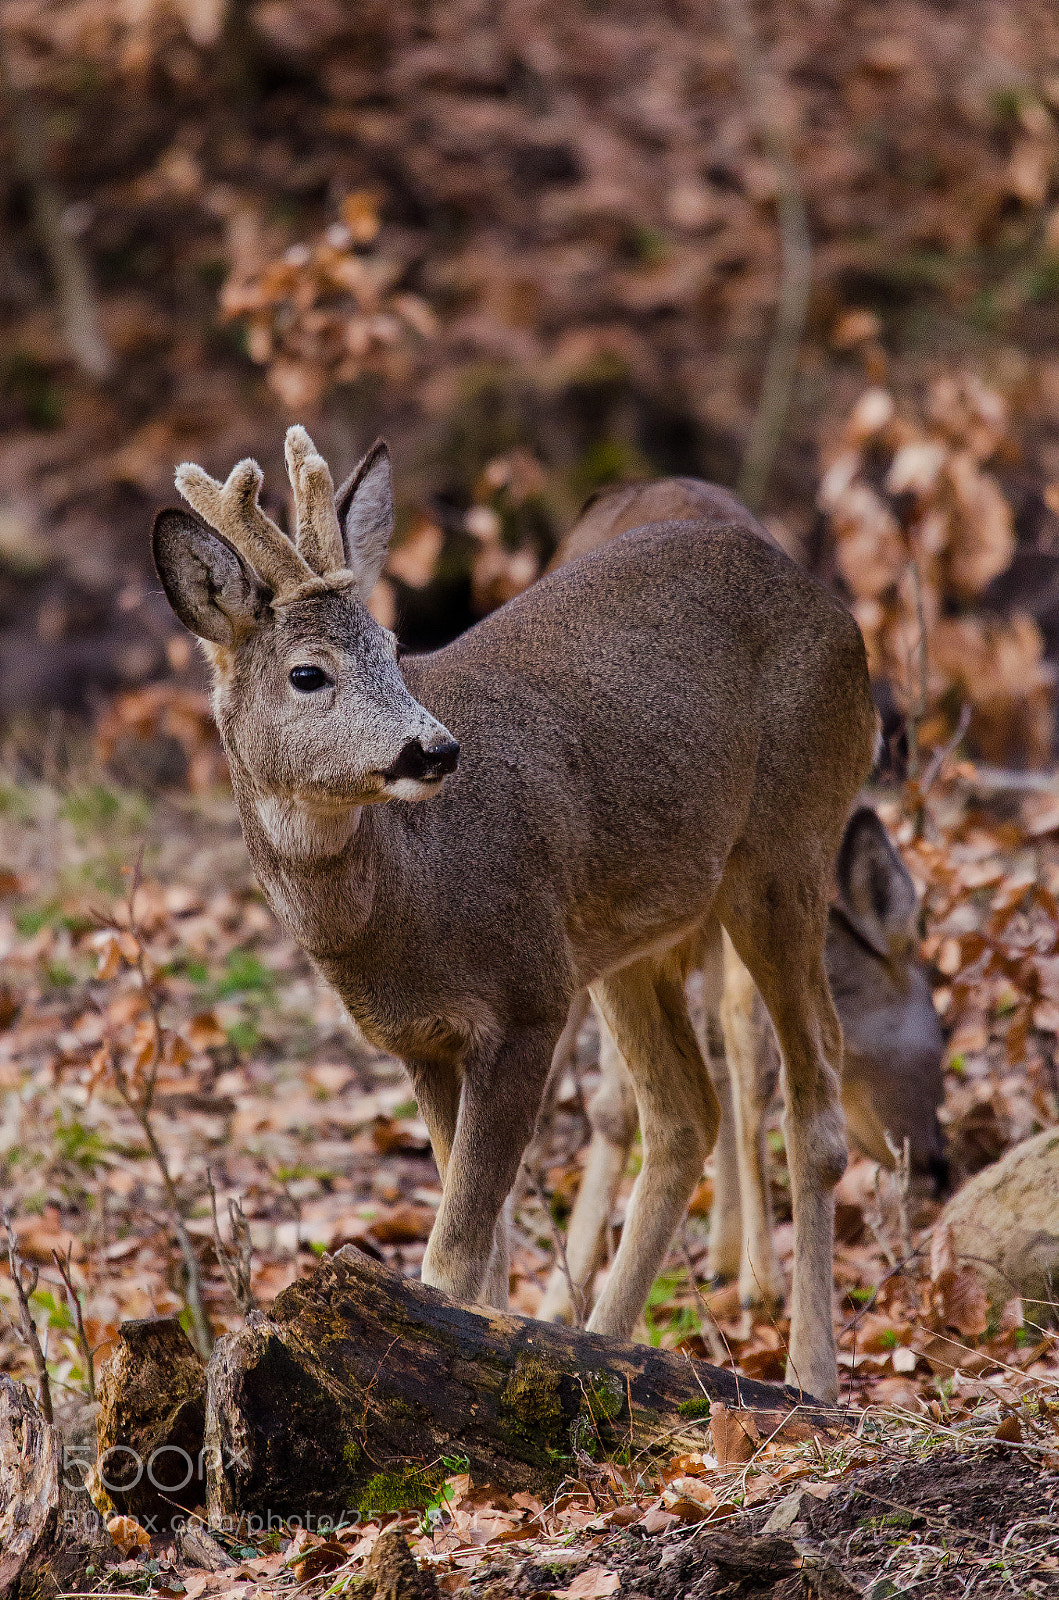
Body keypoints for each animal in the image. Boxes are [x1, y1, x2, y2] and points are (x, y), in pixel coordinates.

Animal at [153, 429, 876, 1402]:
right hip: (631, 932)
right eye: (308, 673)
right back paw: (607, 1349)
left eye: (393, 646)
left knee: (816, 1095)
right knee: (682, 1112)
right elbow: (484, 1246)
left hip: (787, 847)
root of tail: (834, 611)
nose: (433, 748)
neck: (405, 902)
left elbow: (454, 1254)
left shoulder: (529, 997)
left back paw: (809, 1375)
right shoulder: (421, 1040)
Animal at [531, 479, 948, 1327]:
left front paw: (752, 1270)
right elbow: (632, 1094)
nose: (938, 1162)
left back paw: (727, 1253)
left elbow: (737, 1055)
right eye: (939, 1035)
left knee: (723, 1045)